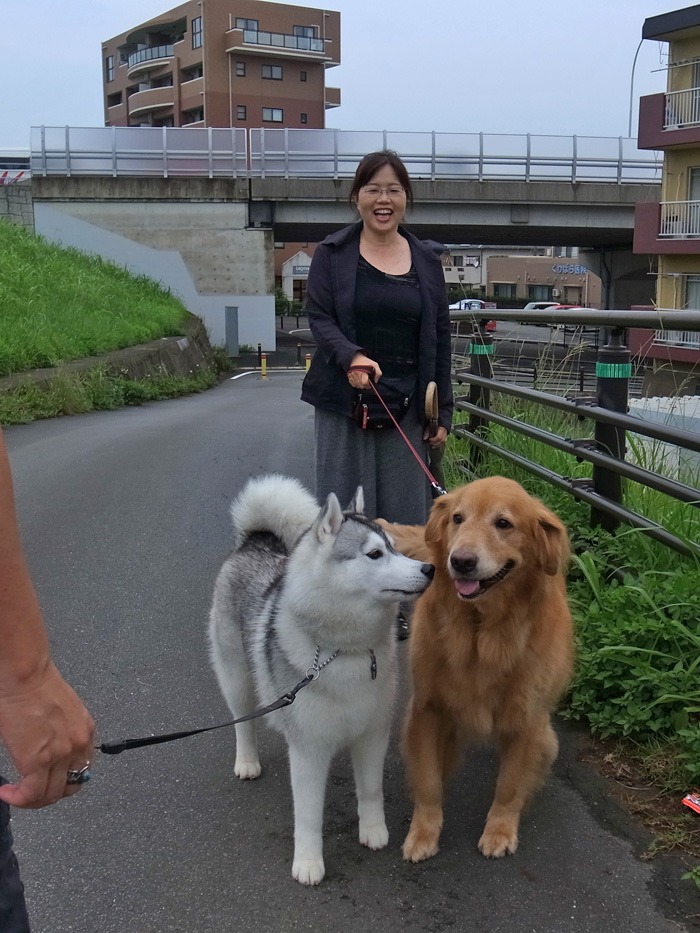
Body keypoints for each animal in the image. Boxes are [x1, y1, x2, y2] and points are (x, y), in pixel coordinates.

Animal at [208, 476, 434, 884]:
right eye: (374, 554)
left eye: (395, 546)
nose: (429, 569)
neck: (346, 651)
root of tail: (256, 541)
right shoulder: (309, 751)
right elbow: (309, 813)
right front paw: (309, 862)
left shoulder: (373, 734)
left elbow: (371, 790)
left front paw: (373, 831)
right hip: (235, 675)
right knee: (242, 719)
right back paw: (247, 760)